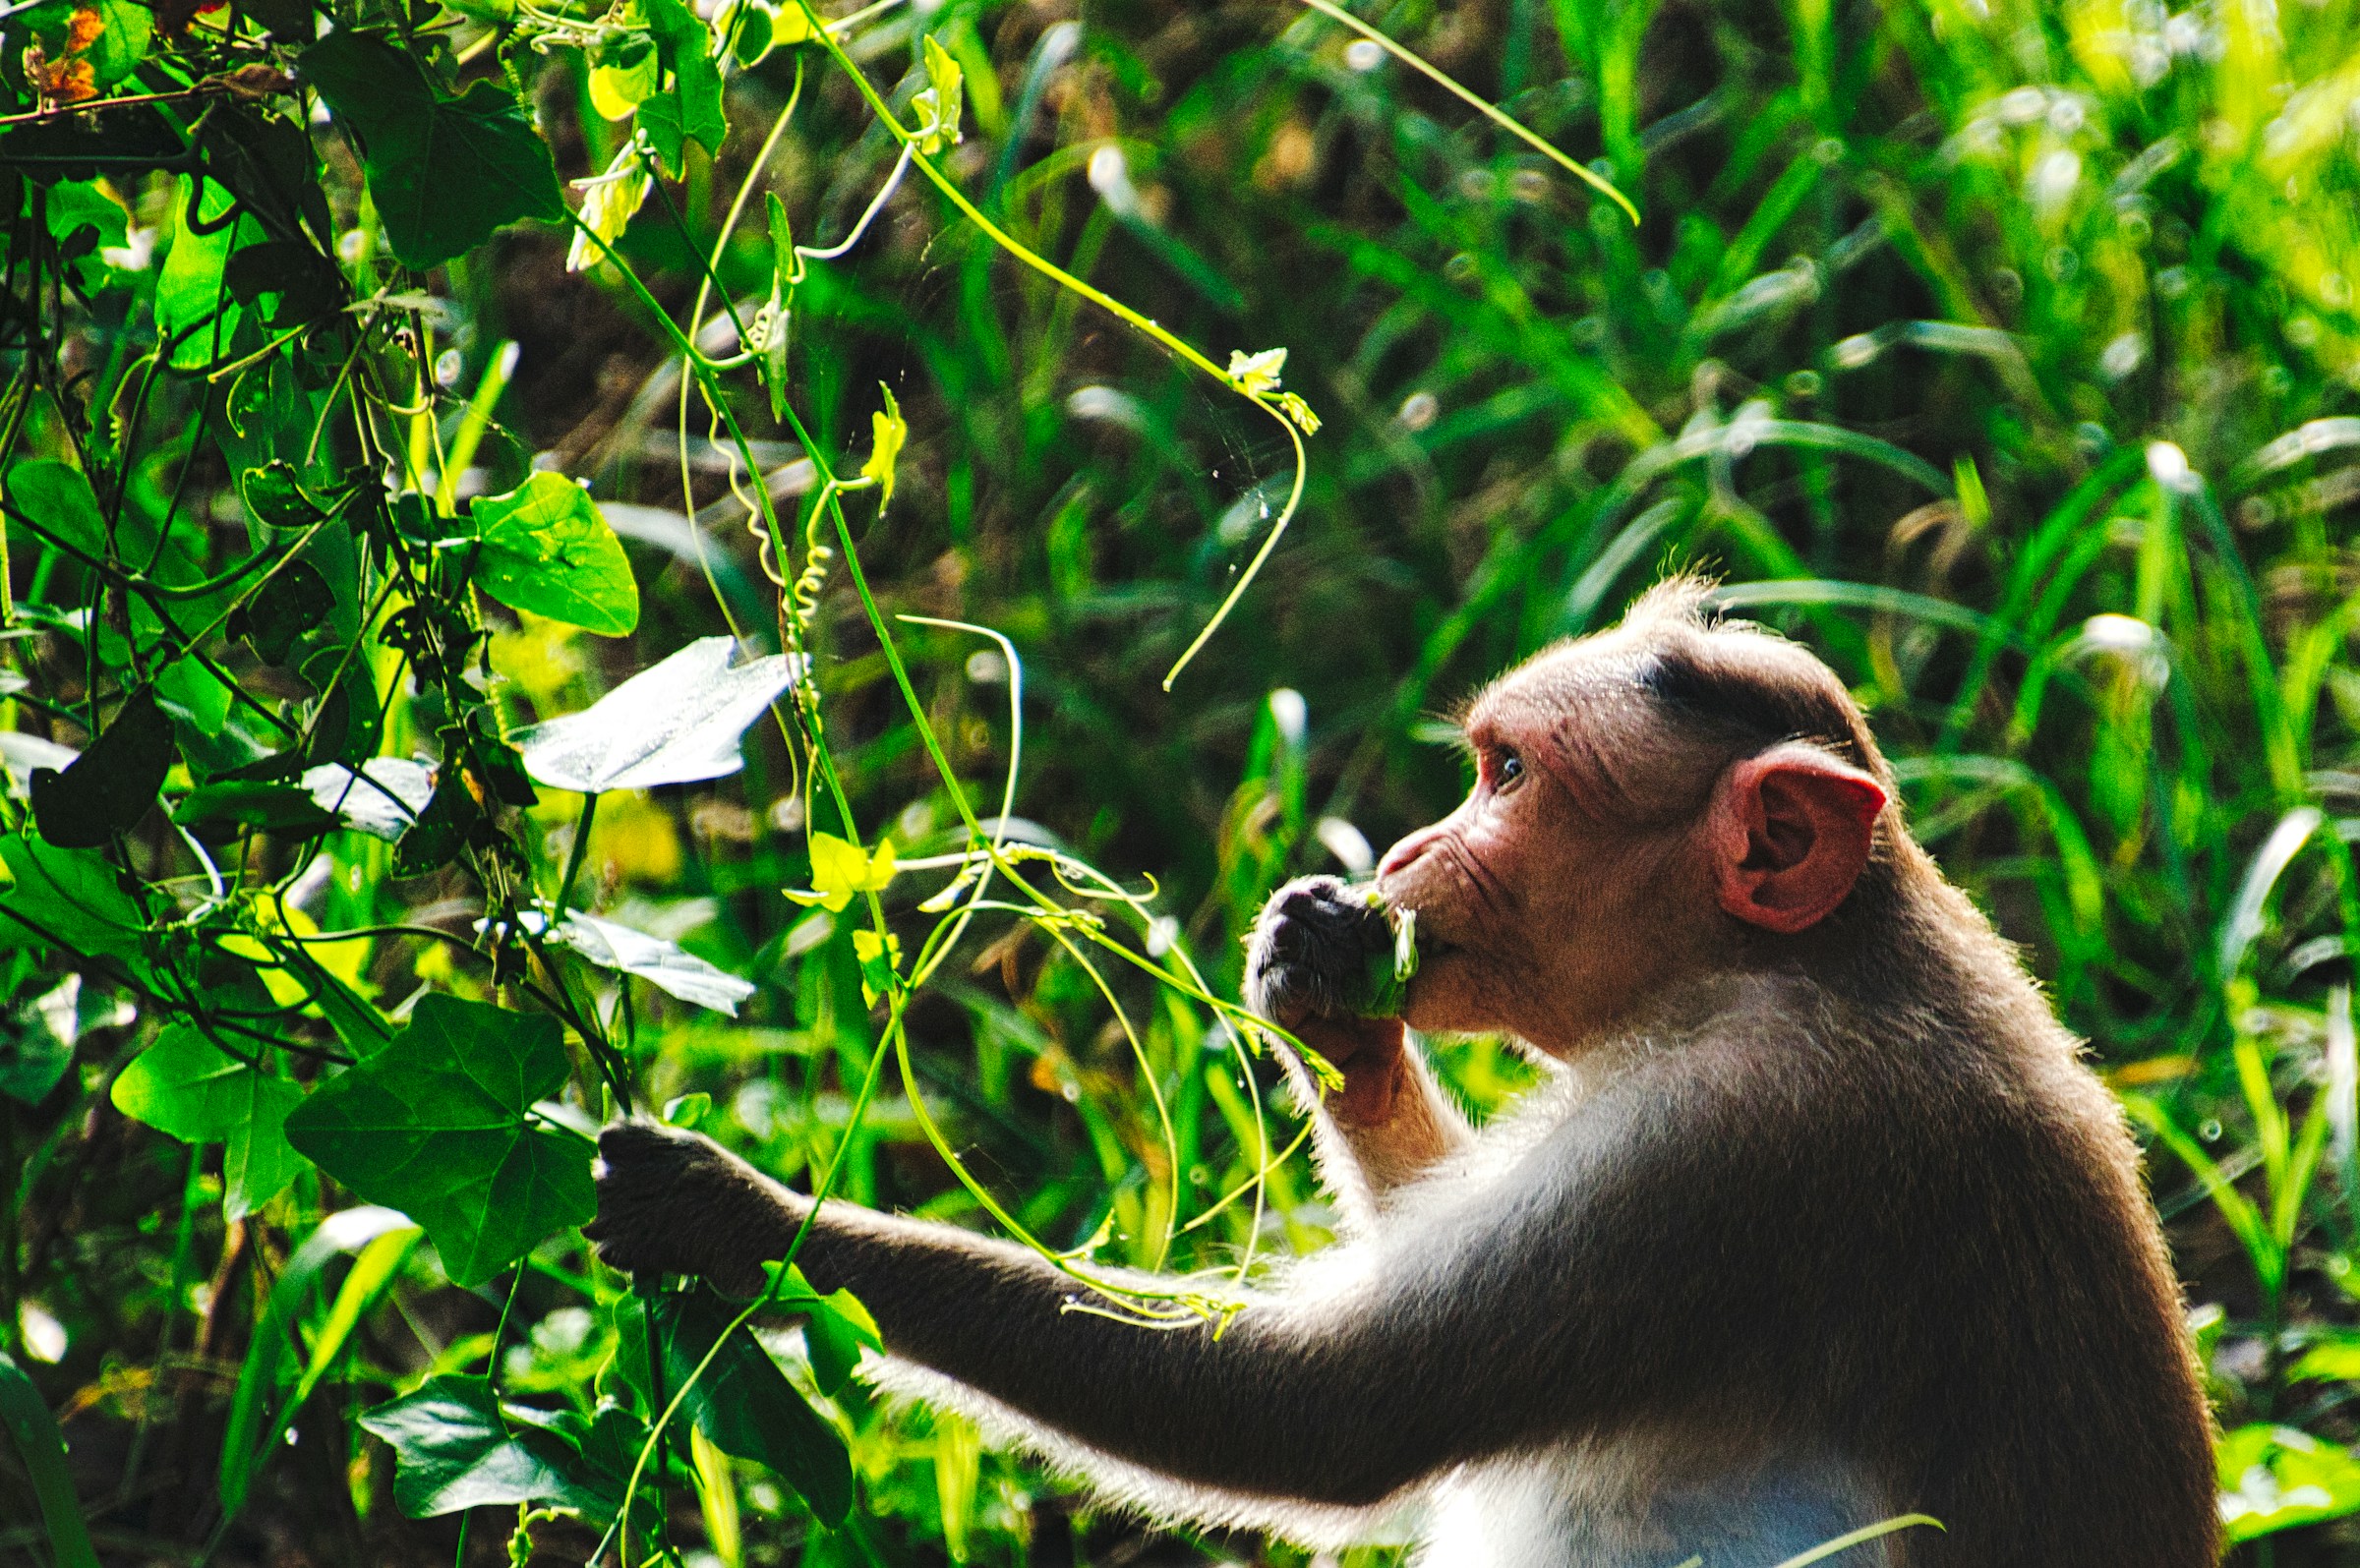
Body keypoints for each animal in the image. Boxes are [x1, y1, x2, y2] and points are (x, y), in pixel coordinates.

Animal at [586, 579, 2217, 1567]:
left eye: (1509, 776)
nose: (1414, 848)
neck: (1791, 963)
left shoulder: (1743, 1137)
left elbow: (1330, 1411)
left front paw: (747, 1219)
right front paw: (1336, 1003)